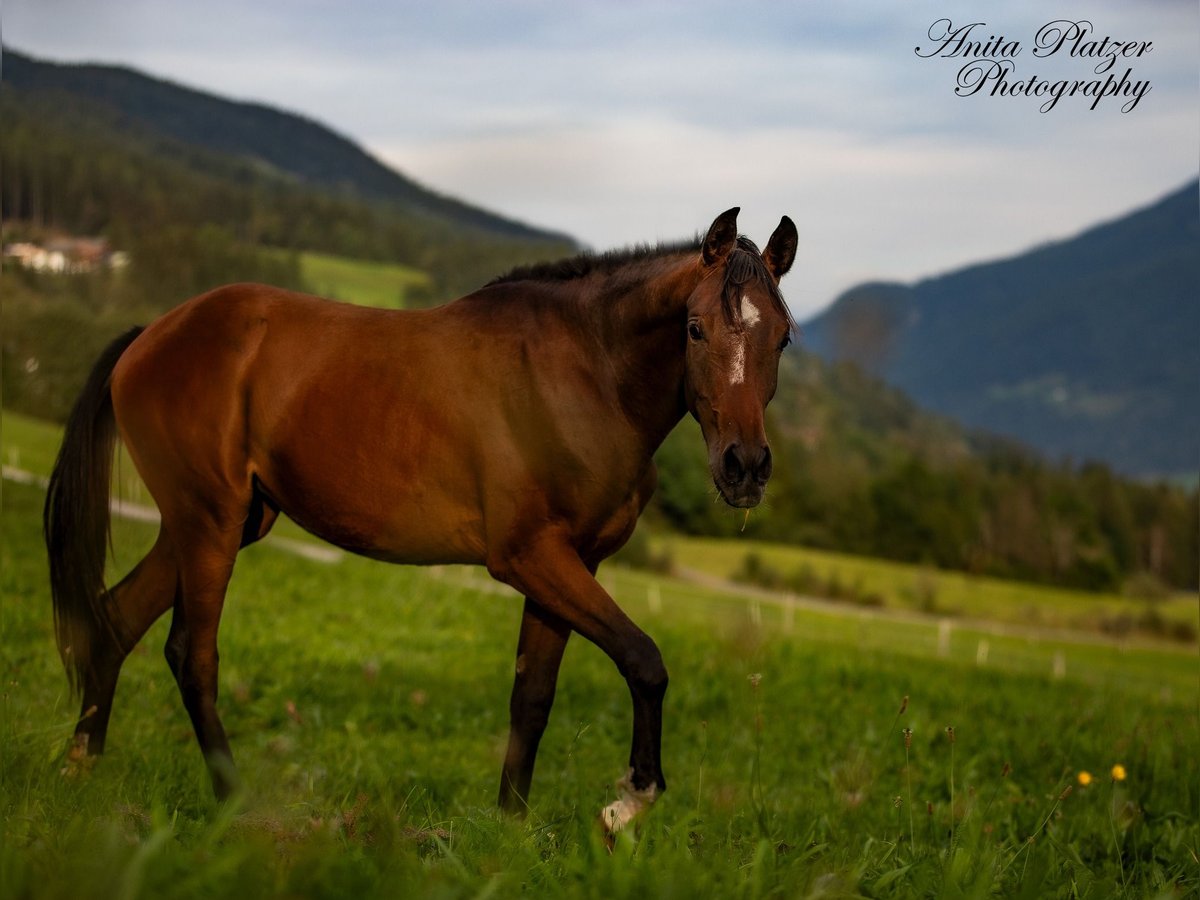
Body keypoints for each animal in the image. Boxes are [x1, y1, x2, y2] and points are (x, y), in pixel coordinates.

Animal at [44, 207, 796, 835]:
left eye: (783, 338)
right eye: (695, 328)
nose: (745, 467)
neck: (584, 374)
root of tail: (150, 335)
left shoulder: (569, 565)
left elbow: (533, 698)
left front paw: (509, 832)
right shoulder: (530, 558)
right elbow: (644, 659)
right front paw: (631, 799)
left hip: (215, 522)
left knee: (114, 622)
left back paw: (82, 768)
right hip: (209, 523)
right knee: (191, 655)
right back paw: (232, 804)